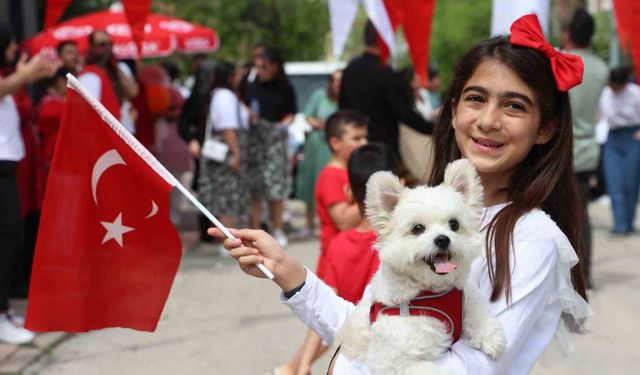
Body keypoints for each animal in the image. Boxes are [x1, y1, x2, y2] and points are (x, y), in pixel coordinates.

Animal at [336, 160, 504, 374]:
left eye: (454, 224)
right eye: (417, 229)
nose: (443, 239)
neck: (431, 291)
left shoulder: (465, 298)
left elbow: (476, 312)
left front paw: (489, 335)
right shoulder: (392, 359)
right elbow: (426, 369)